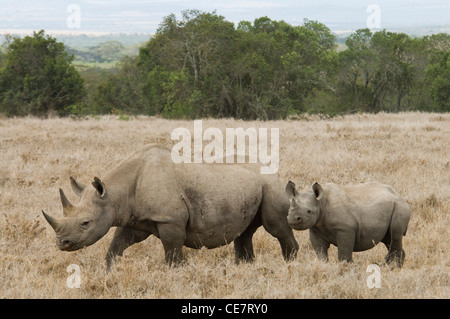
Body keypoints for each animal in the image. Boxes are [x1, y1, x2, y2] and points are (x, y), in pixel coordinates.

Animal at [284, 182, 412, 268]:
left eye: (309, 211)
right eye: (289, 209)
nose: (293, 219)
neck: (320, 203)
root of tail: (400, 196)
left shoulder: (345, 229)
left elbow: (344, 251)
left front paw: (346, 267)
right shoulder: (315, 228)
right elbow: (320, 251)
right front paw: (323, 266)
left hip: (400, 207)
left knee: (394, 234)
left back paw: (391, 268)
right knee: (388, 239)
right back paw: (389, 266)